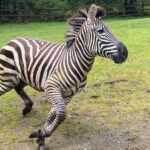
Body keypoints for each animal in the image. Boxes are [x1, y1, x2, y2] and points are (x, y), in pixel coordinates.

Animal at [0, 4, 127, 149]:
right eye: (100, 31)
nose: (125, 53)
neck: (76, 61)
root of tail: (14, 39)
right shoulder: (51, 87)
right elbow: (61, 113)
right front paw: (41, 134)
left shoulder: (68, 94)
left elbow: (54, 113)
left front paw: (41, 135)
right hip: (7, 78)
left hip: (23, 76)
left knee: (18, 88)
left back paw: (27, 107)